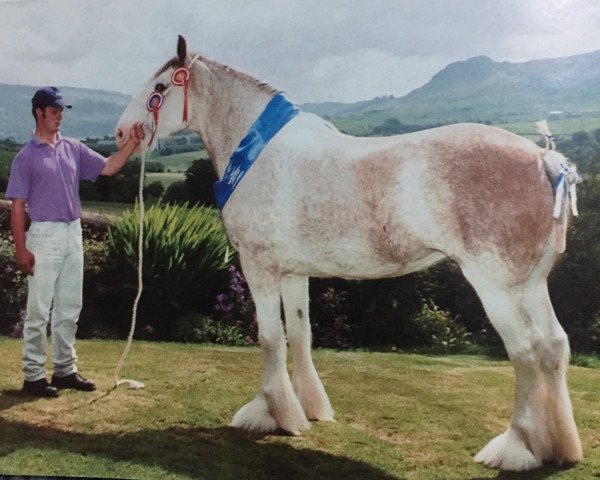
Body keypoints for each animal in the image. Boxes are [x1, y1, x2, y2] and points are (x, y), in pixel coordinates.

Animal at [116, 35, 580, 470]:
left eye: (160, 87)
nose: (122, 132)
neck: (259, 153)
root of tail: (545, 159)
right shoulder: (293, 273)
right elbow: (299, 333)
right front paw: (308, 410)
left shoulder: (259, 266)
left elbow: (269, 337)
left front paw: (271, 414)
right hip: (530, 285)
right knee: (554, 346)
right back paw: (557, 447)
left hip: (497, 286)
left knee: (526, 351)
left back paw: (517, 447)